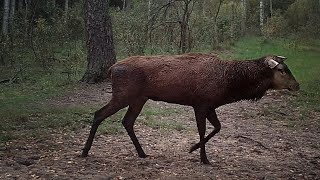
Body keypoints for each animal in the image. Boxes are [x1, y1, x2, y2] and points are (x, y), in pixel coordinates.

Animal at [80, 52, 300, 164]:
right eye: (282, 70)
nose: (297, 85)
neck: (228, 87)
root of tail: (111, 68)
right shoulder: (200, 104)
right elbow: (203, 130)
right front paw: (203, 158)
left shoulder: (210, 105)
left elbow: (218, 127)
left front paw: (193, 149)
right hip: (123, 95)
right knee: (99, 114)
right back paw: (85, 151)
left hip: (138, 99)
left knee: (127, 121)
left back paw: (142, 153)